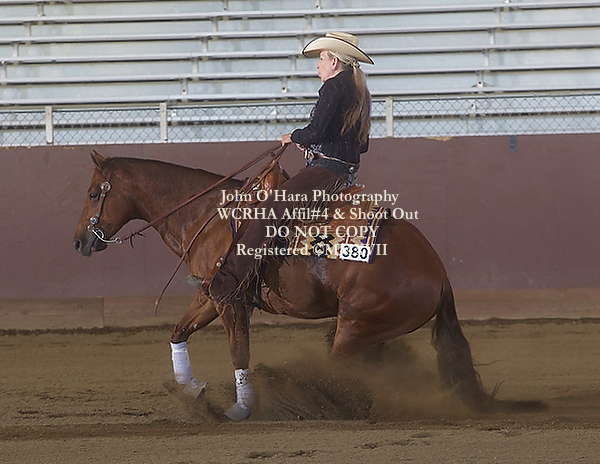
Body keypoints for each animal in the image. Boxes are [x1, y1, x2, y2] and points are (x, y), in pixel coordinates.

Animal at [73, 148, 496, 421]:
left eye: (93, 193)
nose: (79, 242)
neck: (209, 215)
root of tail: (438, 273)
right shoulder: (210, 295)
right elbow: (179, 332)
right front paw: (191, 391)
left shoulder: (228, 300)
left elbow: (239, 351)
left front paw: (241, 407)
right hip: (370, 332)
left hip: (355, 325)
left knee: (339, 373)